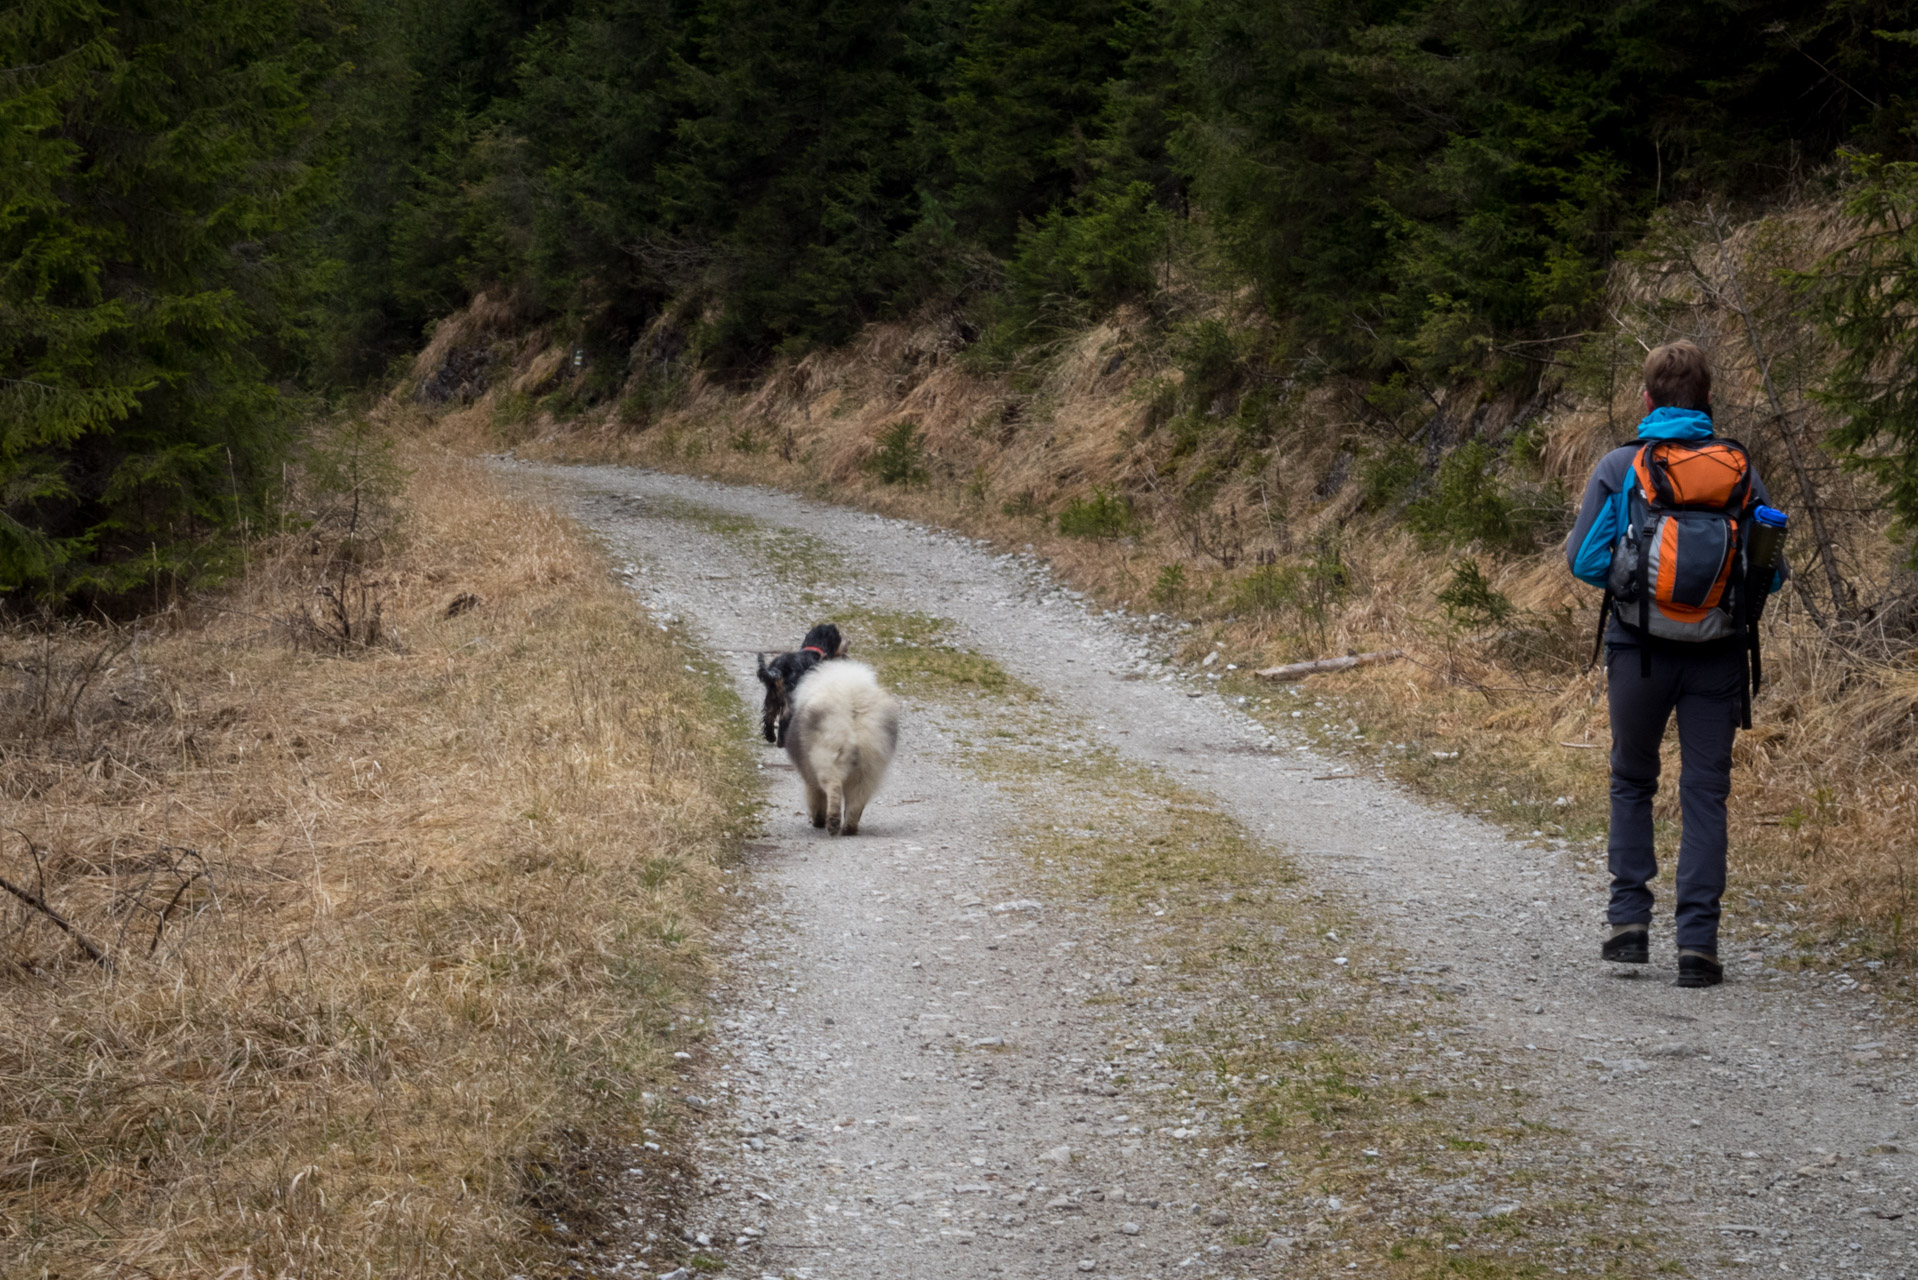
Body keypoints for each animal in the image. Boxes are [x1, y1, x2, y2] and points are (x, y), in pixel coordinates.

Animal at [778, 660, 897, 840]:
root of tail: (852, 702)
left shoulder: (809, 775)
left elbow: (814, 796)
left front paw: (817, 820)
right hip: (870, 765)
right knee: (857, 799)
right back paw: (849, 828)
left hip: (827, 754)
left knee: (832, 787)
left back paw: (832, 823)